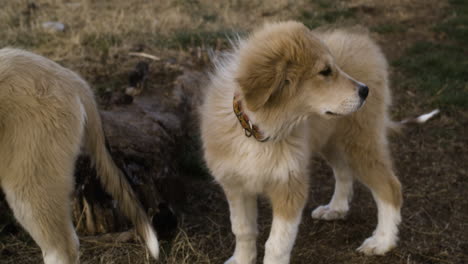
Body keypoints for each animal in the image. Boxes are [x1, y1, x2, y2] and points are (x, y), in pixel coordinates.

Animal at [201, 21, 438, 264]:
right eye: (325, 72)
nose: (365, 91)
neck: (257, 130)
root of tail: (364, 41)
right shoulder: (235, 185)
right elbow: (242, 230)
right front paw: (241, 259)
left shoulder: (290, 187)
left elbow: (276, 245)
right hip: (332, 140)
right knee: (343, 171)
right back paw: (336, 208)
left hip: (359, 141)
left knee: (390, 187)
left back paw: (382, 242)